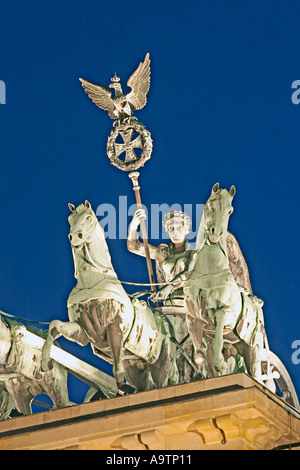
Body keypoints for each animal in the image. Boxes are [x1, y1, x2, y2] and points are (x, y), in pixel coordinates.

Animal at [41, 200, 179, 392]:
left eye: (88, 218)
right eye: (69, 219)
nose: (75, 236)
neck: (92, 280)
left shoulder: (115, 326)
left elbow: (116, 362)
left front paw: (120, 385)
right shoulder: (83, 331)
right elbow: (55, 325)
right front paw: (44, 362)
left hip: (162, 361)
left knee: (163, 382)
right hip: (137, 367)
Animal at [182, 184, 266, 386]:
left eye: (230, 210)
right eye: (211, 203)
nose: (214, 233)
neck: (210, 271)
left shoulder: (227, 313)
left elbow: (219, 319)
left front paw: (220, 362)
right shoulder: (192, 319)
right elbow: (199, 355)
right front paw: (203, 372)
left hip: (253, 349)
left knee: (257, 376)